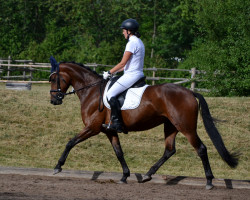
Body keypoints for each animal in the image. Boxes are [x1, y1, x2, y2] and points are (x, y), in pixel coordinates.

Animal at [48, 57, 238, 189]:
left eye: (53, 79)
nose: (54, 101)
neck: (92, 91)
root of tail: (190, 92)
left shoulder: (92, 128)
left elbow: (71, 142)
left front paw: (58, 166)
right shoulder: (110, 131)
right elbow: (119, 152)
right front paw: (125, 176)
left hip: (186, 127)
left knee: (201, 149)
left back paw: (209, 181)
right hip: (170, 126)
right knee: (170, 150)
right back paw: (148, 174)